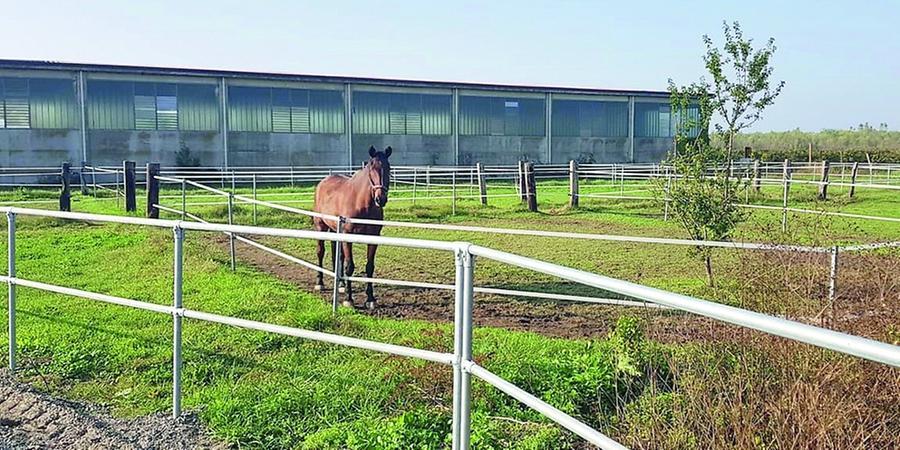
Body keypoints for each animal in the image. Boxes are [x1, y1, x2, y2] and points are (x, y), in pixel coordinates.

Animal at [312, 145, 392, 309]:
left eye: (388, 167)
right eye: (371, 168)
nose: (380, 199)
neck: (361, 203)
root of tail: (323, 182)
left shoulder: (373, 237)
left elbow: (369, 266)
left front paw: (370, 299)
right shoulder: (348, 236)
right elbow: (350, 266)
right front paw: (349, 299)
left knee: (338, 256)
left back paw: (341, 284)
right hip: (320, 227)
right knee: (320, 252)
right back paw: (320, 282)